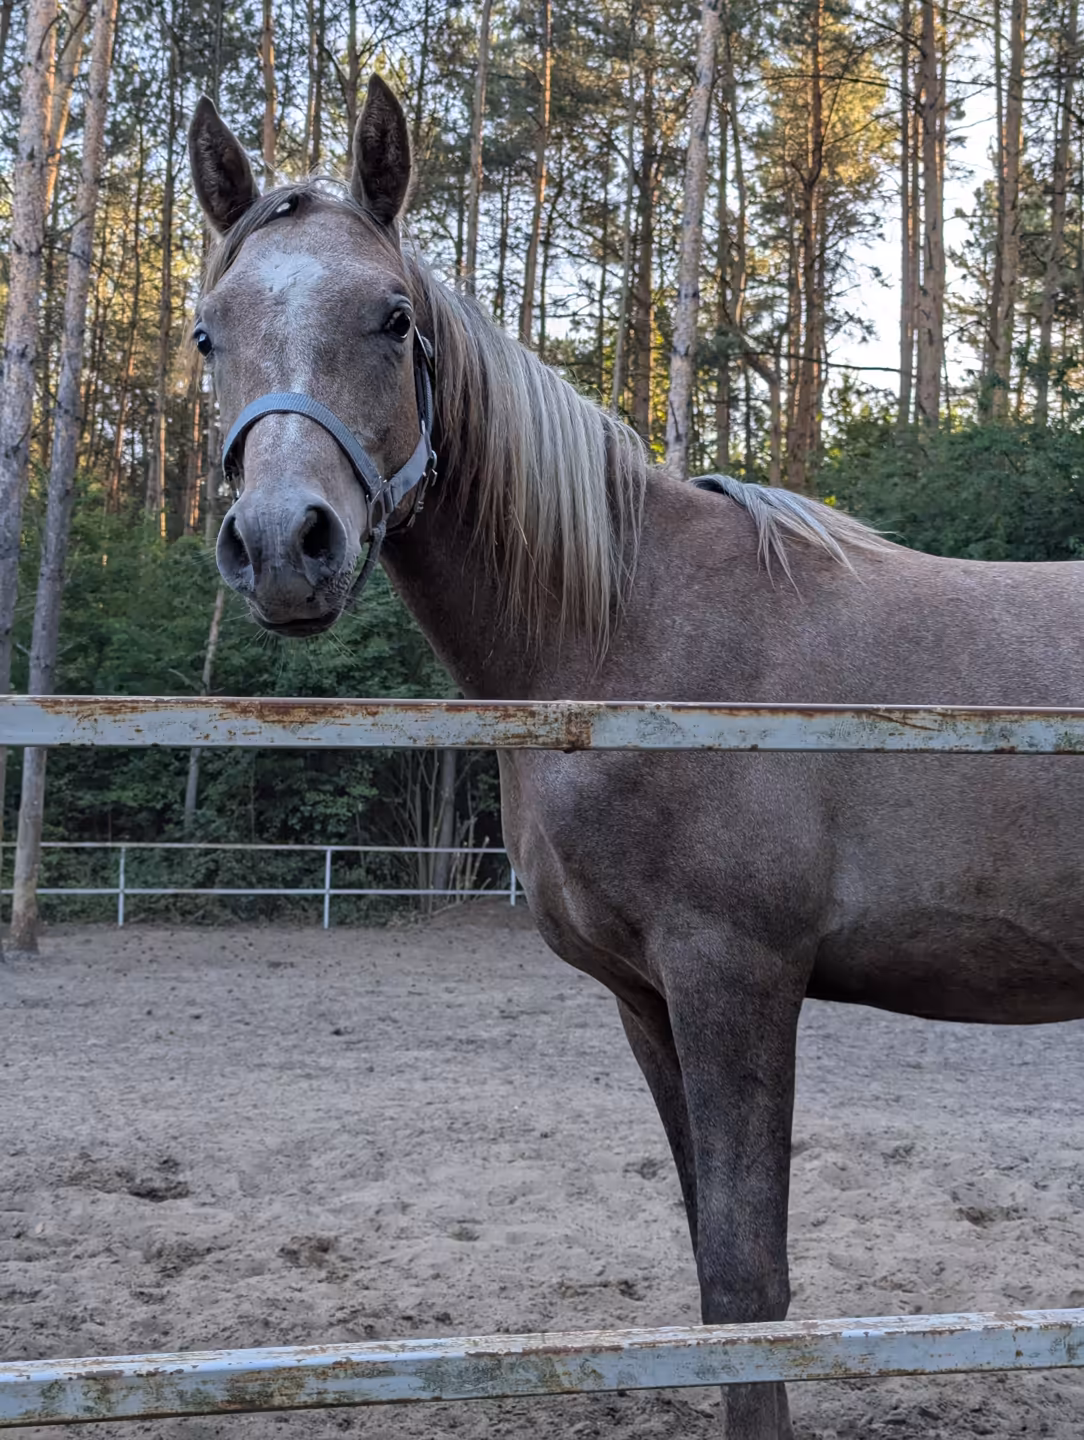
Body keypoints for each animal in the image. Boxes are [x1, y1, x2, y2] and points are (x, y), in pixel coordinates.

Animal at [187, 76, 1084, 1439]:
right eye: (207, 335)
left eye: (391, 318)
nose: (286, 545)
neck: (626, 631)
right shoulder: (645, 998)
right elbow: (712, 1275)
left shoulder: (735, 975)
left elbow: (748, 1281)